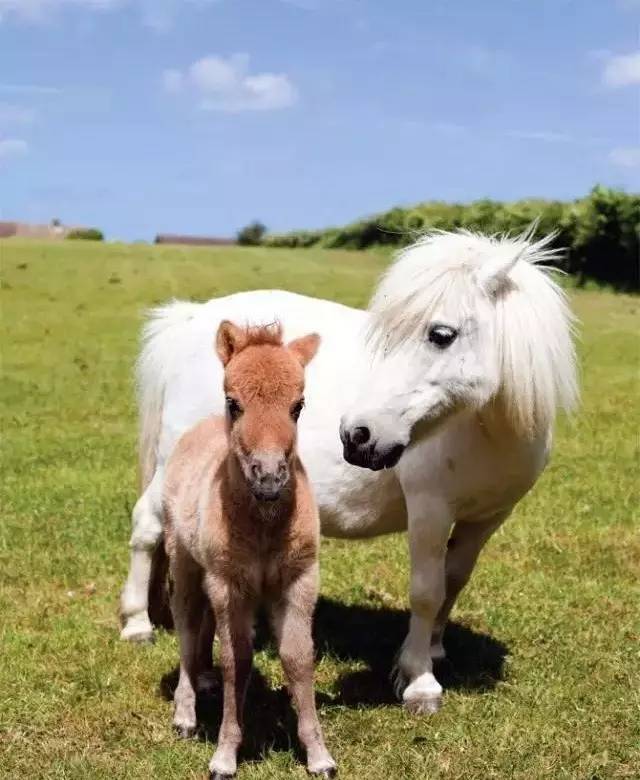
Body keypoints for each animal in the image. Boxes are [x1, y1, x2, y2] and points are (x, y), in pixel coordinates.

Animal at [121, 227, 580, 712]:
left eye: (441, 334)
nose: (356, 435)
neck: (481, 429)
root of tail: (191, 321)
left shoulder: (487, 518)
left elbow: (453, 580)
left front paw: (434, 648)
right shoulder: (430, 510)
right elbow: (427, 590)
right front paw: (419, 680)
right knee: (147, 526)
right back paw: (137, 624)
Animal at [162, 320, 338, 776]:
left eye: (298, 406)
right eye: (234, 403)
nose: (270, 477)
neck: (262, 527)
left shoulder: (300, 579)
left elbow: (297, 657)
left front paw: (319, 755)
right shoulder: (228, 584)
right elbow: (236, 661)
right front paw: (224, 756)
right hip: (184, 562)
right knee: (187, 626)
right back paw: (185, 713)